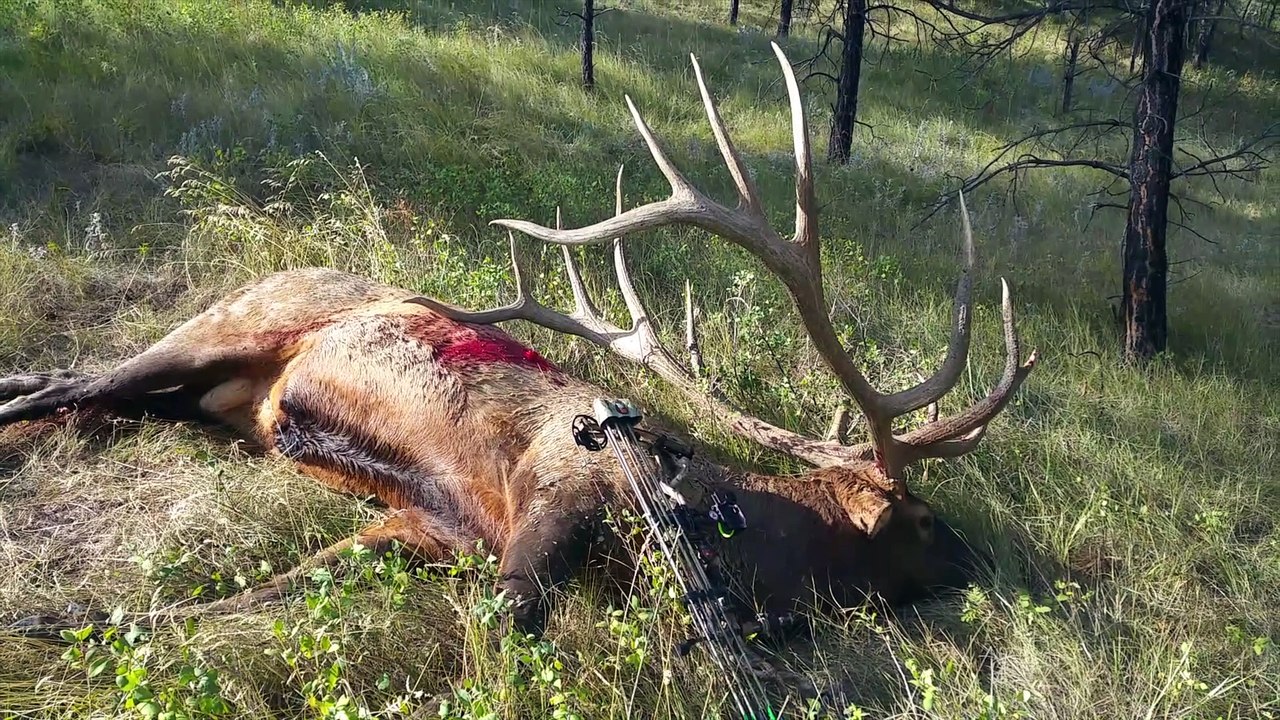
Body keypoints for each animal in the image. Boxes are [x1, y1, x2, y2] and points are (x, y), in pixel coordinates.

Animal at [2, 44, 1035, 652]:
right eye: (925, 520)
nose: (986, 560)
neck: (716, 516)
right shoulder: (555, 495)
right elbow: (516, 621)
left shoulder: (432, 529)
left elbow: (256, 592)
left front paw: (71, 620)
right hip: (219, 331)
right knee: (68, 385)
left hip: (214, 391)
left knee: (80, 389)